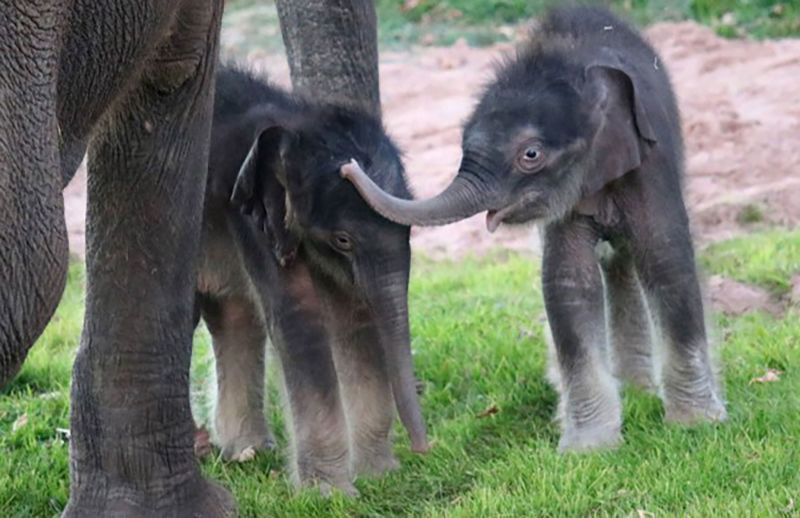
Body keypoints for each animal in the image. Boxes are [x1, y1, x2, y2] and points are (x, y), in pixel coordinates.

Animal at [196, 65, 428, 496]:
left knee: (232, 314)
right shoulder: (250, 216)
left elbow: (350, 315)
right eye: (343, 239)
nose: (424, 449)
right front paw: (329, 495)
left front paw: (379, 475)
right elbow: (298, 317)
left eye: (410, 231)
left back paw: (247, 452)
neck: (294, 122)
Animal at [344, 6, 724, 456]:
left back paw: (639, 392)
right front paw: (589, 449)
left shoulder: (652, 162)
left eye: (531, 154)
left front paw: (697, 424)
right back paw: (626, 391)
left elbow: (667, 259)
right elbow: (567, 281)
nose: (347, 167)